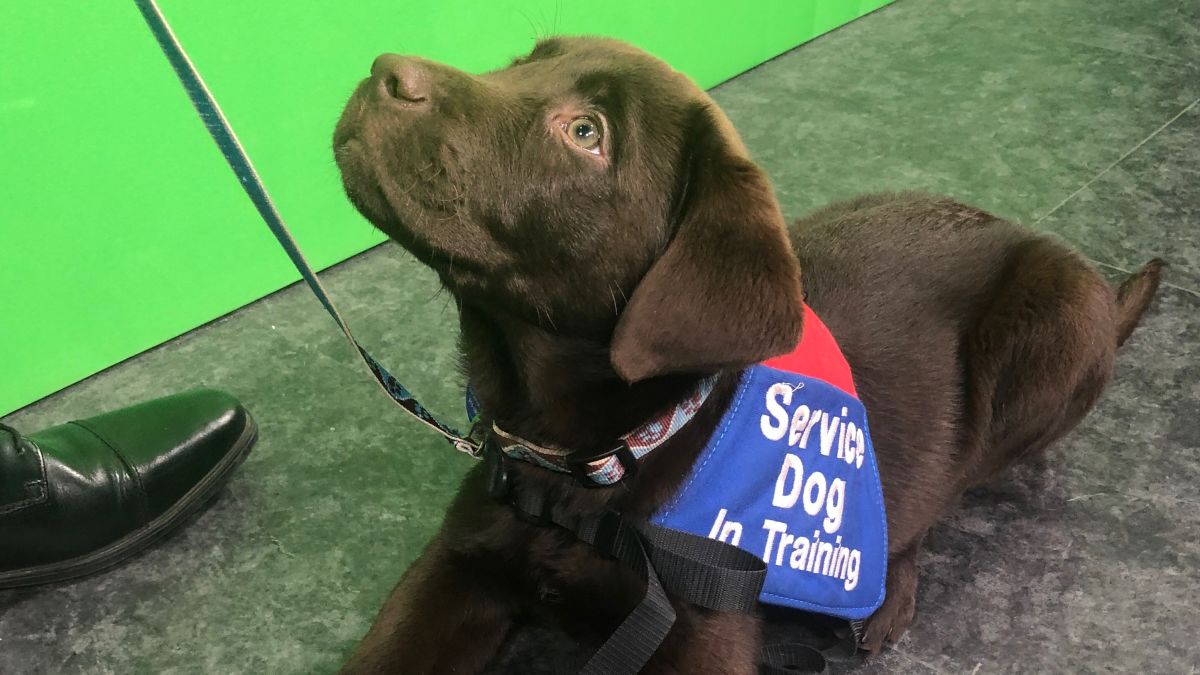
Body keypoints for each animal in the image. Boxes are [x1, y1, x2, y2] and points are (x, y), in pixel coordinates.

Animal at [331, 38, 1161, 672]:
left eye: (587, 133)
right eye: (518, 63)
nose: (381, 71)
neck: (581, 466)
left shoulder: (702, 627)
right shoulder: (456, 564)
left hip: (1056, 330)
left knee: (949, 484)